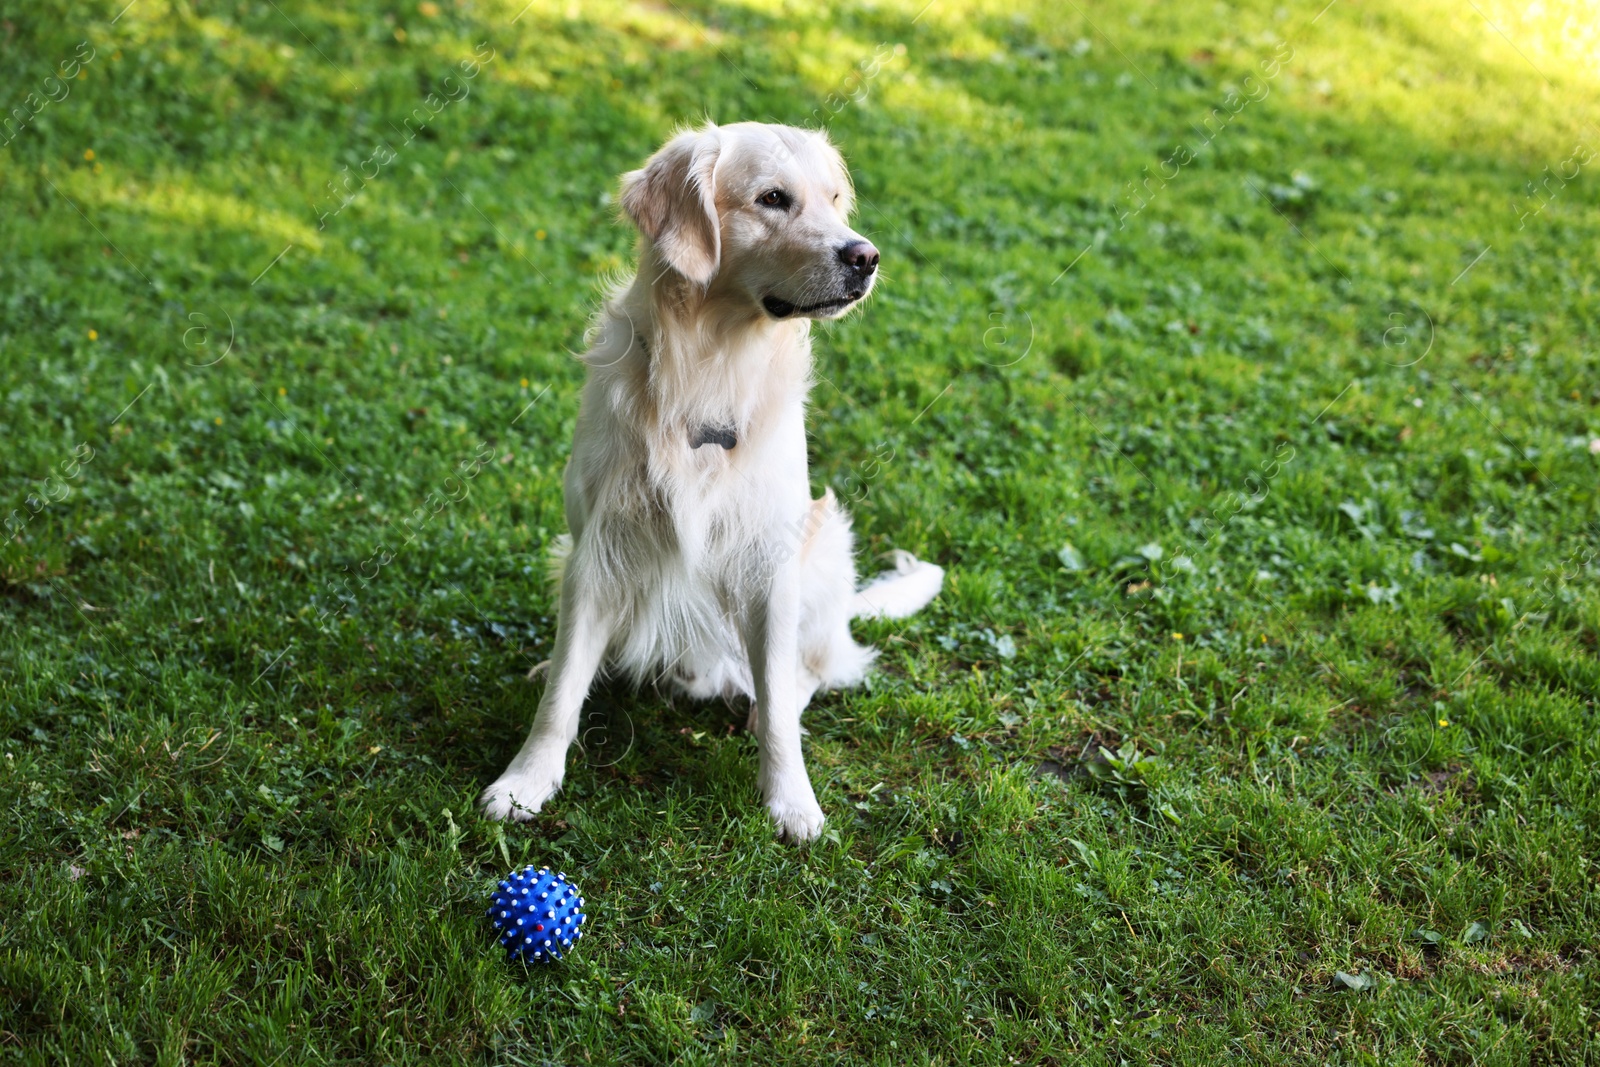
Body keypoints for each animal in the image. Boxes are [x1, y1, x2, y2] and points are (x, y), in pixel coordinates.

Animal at [480, 120, 940, 838]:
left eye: (835, 200)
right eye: (773, 198)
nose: (865, 257)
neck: (711, 366)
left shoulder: (770, 561)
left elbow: (778, 703)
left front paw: (792, 801)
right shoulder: (598, 549)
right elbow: (562, 694)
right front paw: (526, 781)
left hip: (826, 545)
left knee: (811, 669)